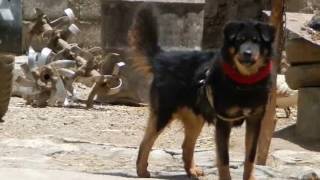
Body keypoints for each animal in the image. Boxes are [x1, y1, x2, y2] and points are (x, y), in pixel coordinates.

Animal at [129, 4, 276, 180]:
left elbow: (250, 158)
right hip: (163, 114)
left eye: (257, 41)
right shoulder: (223, 122)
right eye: (239, 40)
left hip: (195, 117)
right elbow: (224, 159)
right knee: (146, 142)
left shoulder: (255, 120)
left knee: (186, 146)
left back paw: (191, 171)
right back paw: (142, 171)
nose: (247, 53)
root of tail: (161, 57)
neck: (245, 81)